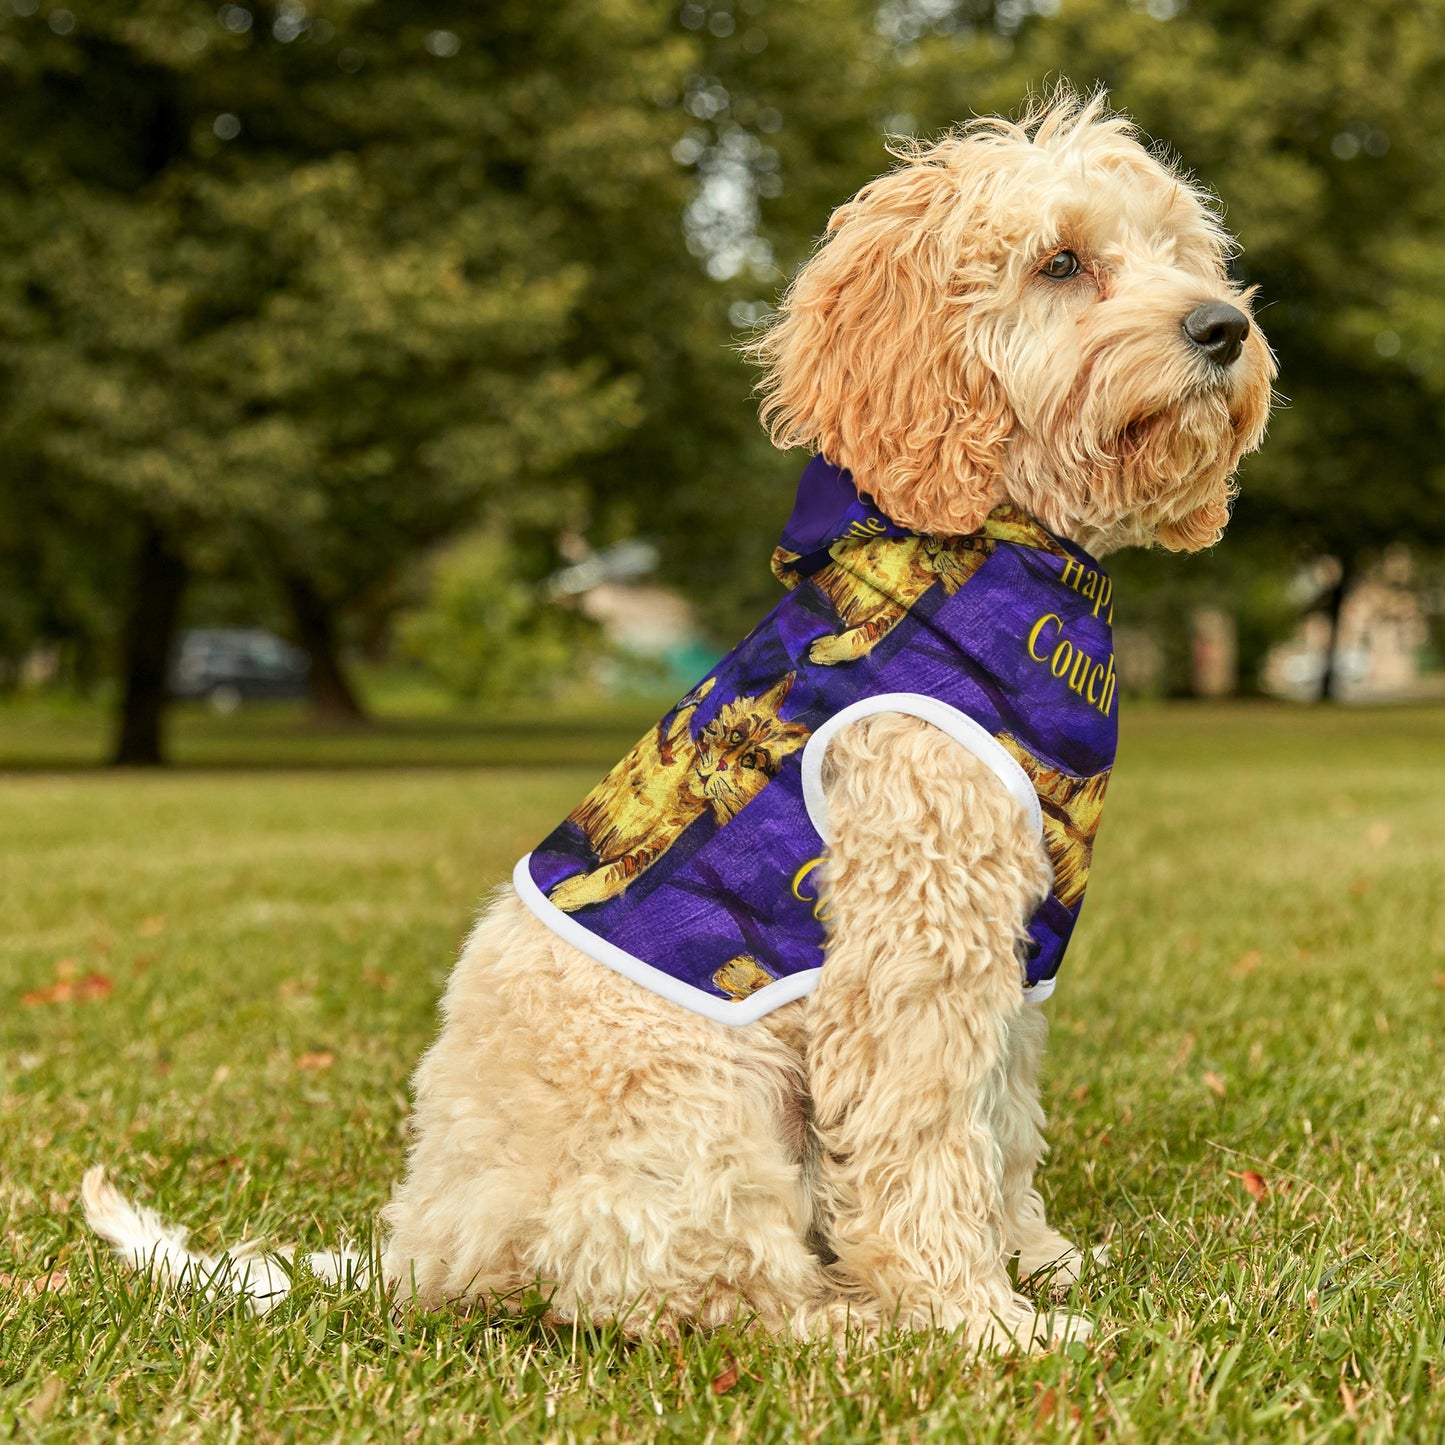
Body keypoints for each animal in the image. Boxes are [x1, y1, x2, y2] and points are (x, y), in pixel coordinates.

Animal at [84, 93, 1271, 1352]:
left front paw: (1035, 1260)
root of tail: (423, 1247)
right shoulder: (911, 940)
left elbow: (998, 1123)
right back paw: (850, 1322)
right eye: (1060, 262)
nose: (1222, 327)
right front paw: (976, 1319)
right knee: (699, 1290)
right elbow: (923, 1139)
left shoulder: (1009, 946)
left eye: (1180, 253)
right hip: (704, 1102)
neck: (994, 553)